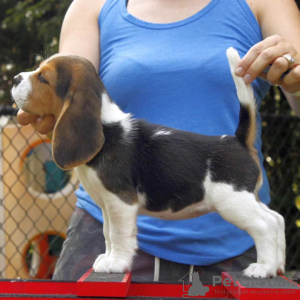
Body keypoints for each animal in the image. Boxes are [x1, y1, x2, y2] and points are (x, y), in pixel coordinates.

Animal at [12, 47, 286, 278]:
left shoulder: (121, 202)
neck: (105, 126)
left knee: (265, 225)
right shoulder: (107, 204)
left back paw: (263, 268)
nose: (14, 79)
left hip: (233, 202)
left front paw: (116, 263)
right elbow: (107, 233)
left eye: (43, 78)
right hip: (246, 199)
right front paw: (107, 258)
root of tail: (237, 141)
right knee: (277, 218)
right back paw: (278, 264)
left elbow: (118, 234)